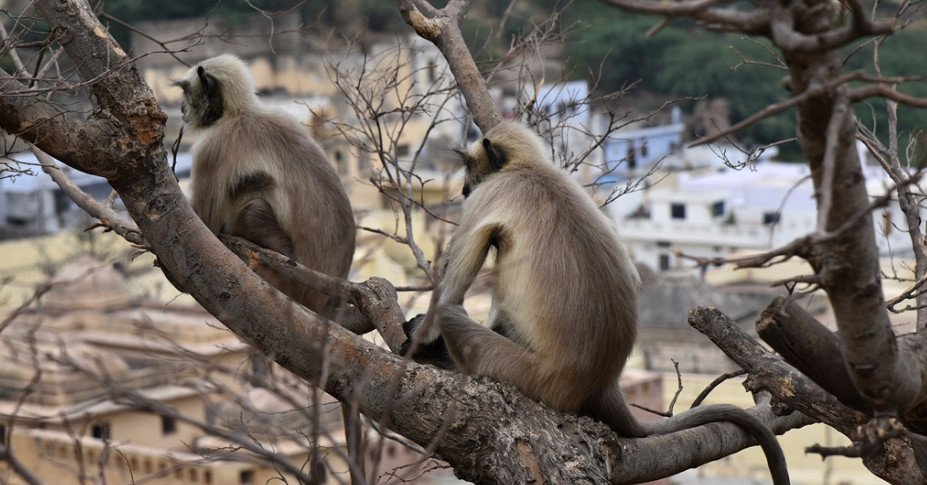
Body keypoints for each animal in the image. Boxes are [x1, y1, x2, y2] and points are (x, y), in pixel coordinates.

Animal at [406, 121, 792, 484]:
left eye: (471, 167)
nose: (463, 188)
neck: (529, 169)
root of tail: (602, 382)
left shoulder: (487, 196)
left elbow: (452, 289)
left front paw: (418, 338)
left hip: (527, 373)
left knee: (453, 314)